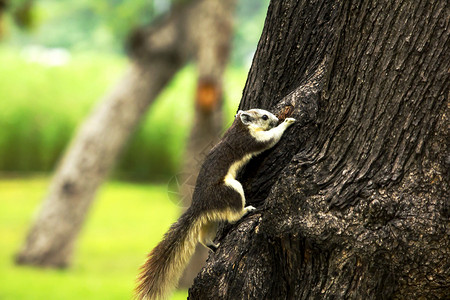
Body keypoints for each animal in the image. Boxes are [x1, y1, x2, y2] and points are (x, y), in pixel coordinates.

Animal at [135, 109, 298, 298]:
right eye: (264, 116)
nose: (276, 118)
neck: (239, 127)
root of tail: (200, 205)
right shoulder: (250, 140)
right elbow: (271, 139)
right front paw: (287, 123)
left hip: (211, 217)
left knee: (203, 235)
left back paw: (213, 244)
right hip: (230, 189)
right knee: (233, 216)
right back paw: (245, 210)